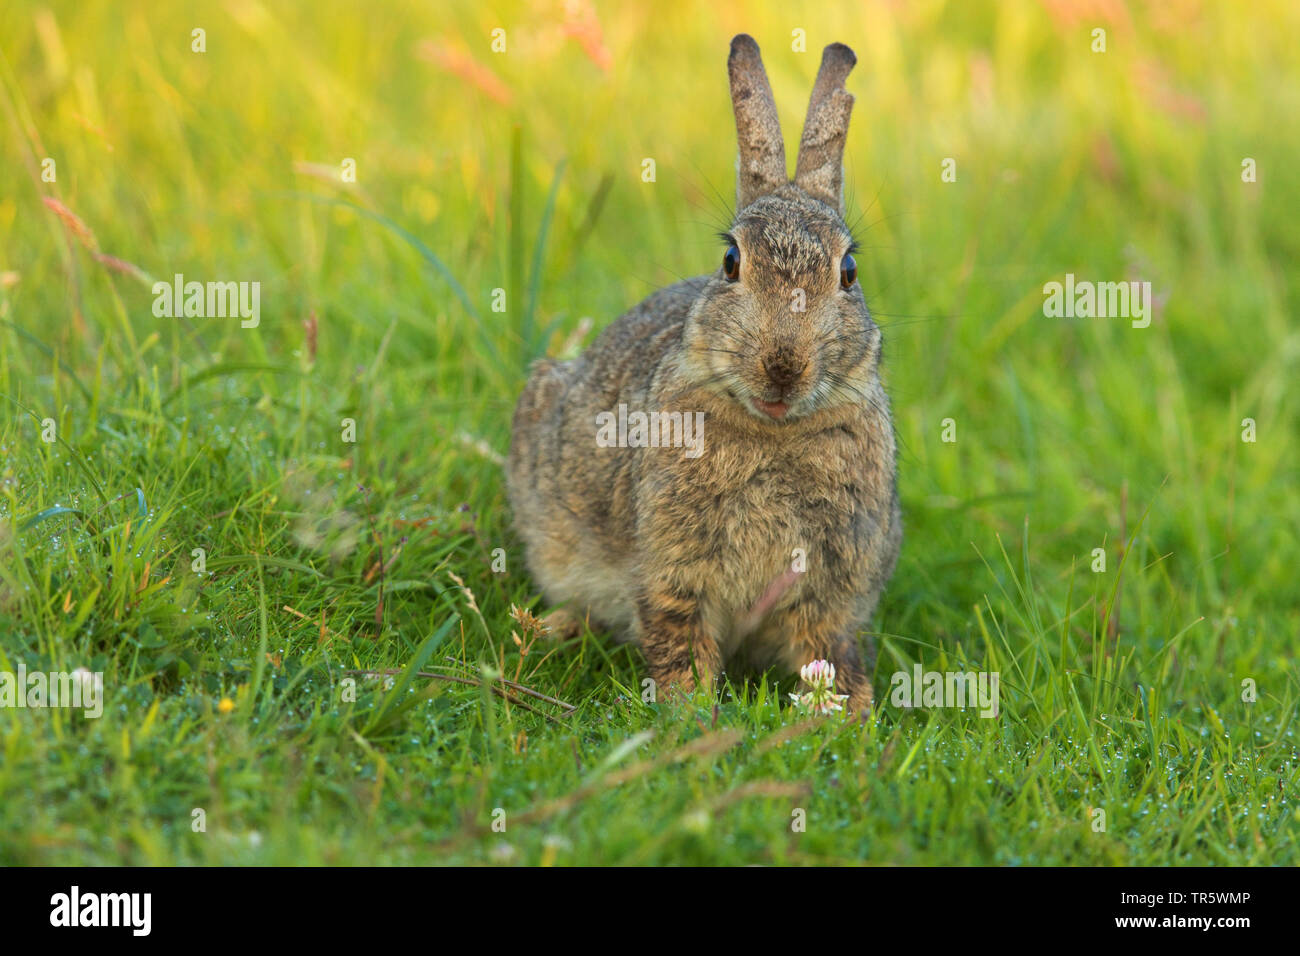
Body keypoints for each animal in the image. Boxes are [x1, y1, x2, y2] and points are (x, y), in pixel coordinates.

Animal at [501, 33, 899, 712]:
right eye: (731, 261)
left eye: (848, 273)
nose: (783, 366)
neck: (774, 430)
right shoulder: (673, 566)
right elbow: (676, 632)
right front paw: (690, 712)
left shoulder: (831, 582)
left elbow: (826, 648)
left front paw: (849, 715)